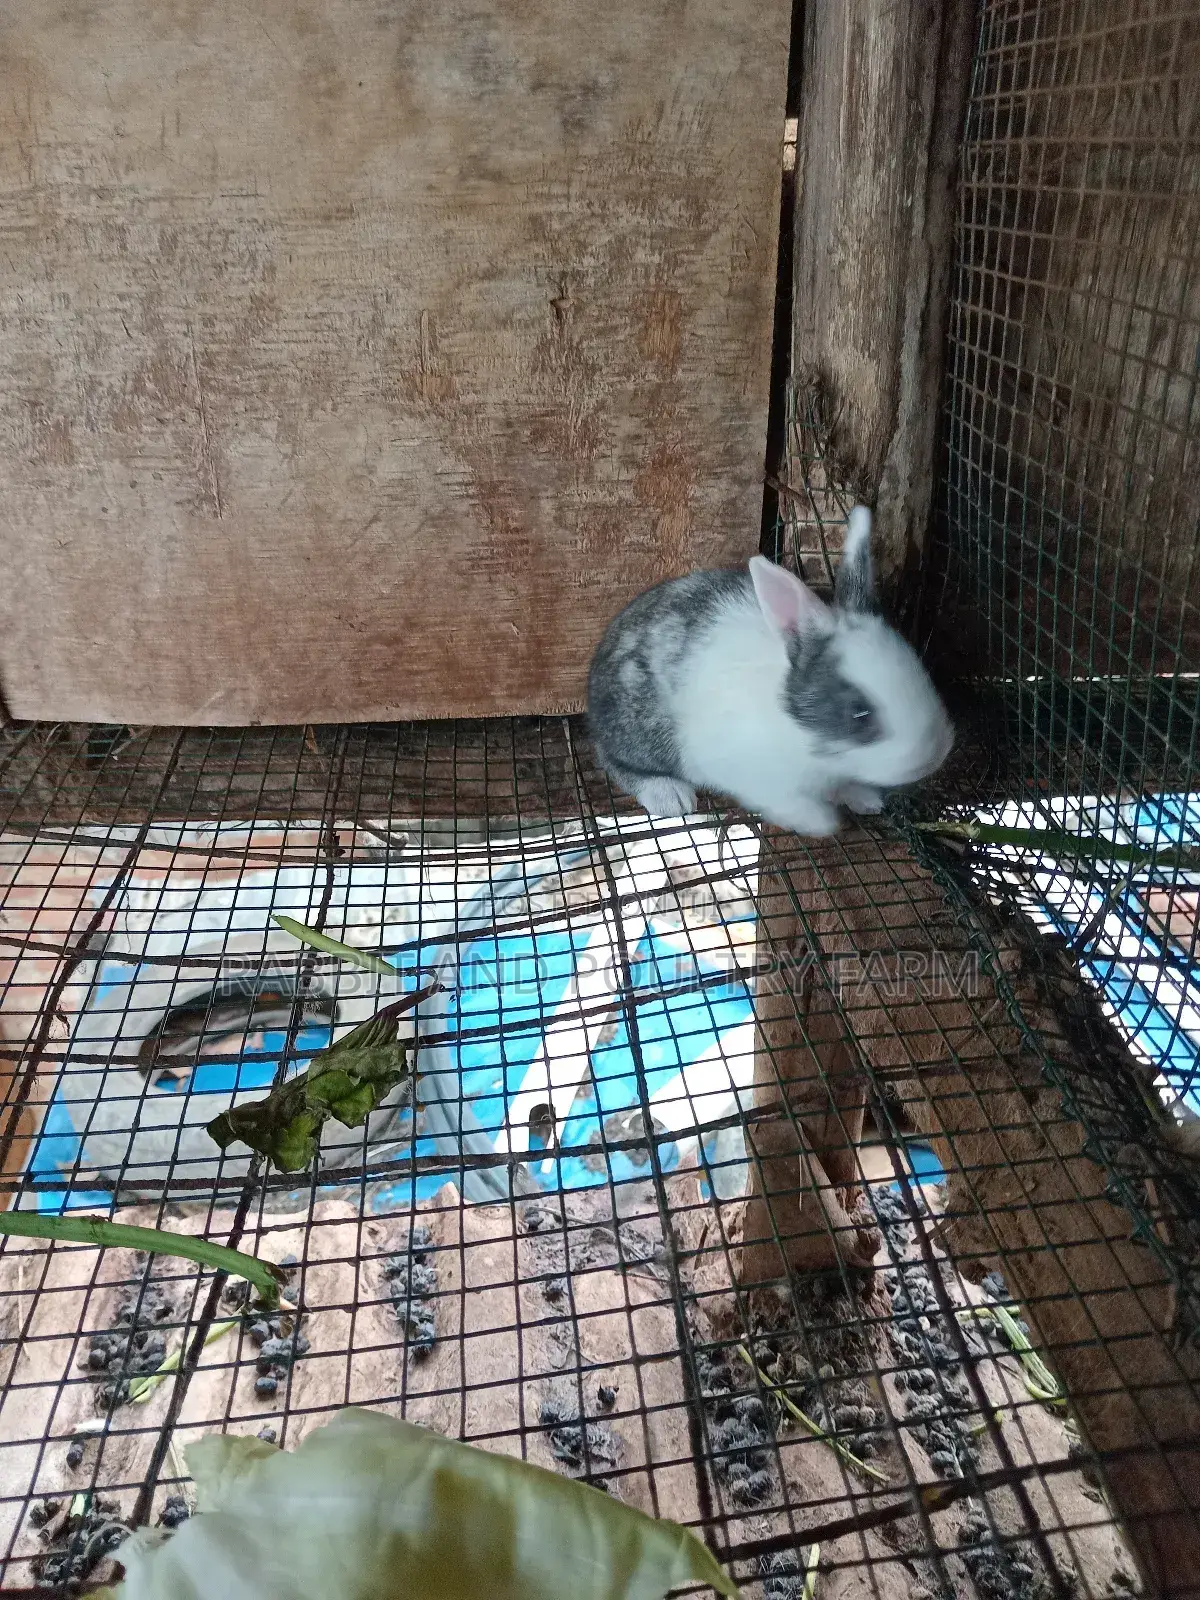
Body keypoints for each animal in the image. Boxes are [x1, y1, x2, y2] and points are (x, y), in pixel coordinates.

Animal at [587, 505, 954, 835]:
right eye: (859, 714)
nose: (935, 755)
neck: (801, 733)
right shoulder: (752, 776)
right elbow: (789, 803)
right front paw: (821, 822)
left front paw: (865, 798)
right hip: (641, 730)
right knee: (613, 759)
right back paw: (669, 795)